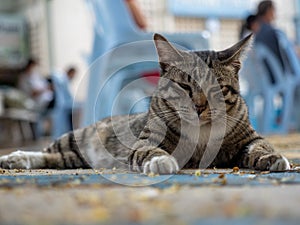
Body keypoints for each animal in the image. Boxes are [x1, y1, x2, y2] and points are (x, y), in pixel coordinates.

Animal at [0, 33, 290, 174]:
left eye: (217, 88)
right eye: (185, 86)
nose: (199, 107)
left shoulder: (249, 138)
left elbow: (260, 146)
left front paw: (272, 157)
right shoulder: (145, 142)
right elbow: (151, 151)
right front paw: (161, 160)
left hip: (75, 158)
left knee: (57, 159)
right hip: (74, 138)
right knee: (45, 151)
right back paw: (15, 157)